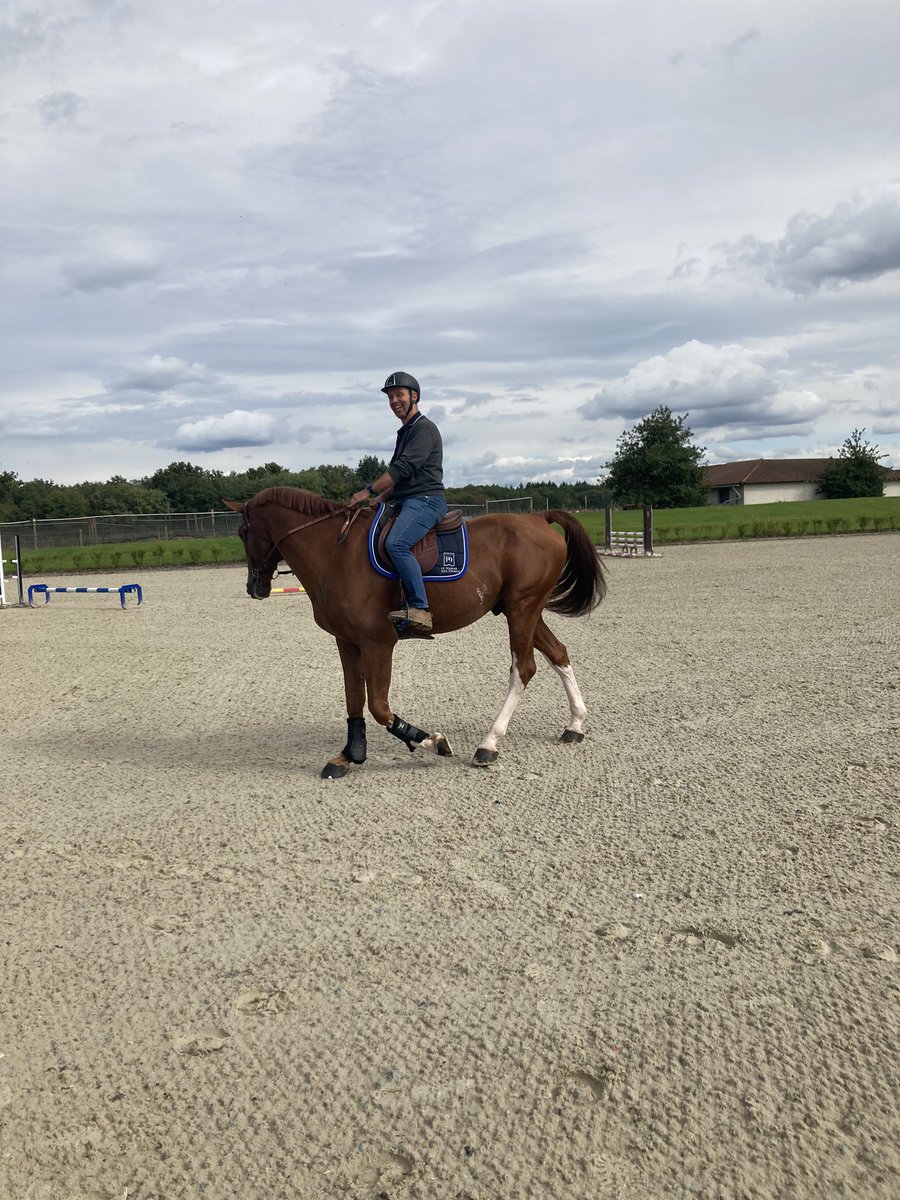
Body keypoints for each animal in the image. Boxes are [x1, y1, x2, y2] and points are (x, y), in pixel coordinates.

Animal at [224, 488, 606, 778]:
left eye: (243, 533)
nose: (254, 587)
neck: (335, 553)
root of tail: (537, 518)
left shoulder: (377, 642)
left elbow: (379, 706)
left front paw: (429, 741)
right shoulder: (347, 642)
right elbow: (353, 698)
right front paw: (349, 754)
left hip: (522, 609)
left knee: (523, 668)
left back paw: (488, 744)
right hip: (525, 610)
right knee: (558, 653)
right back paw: (575, 725)